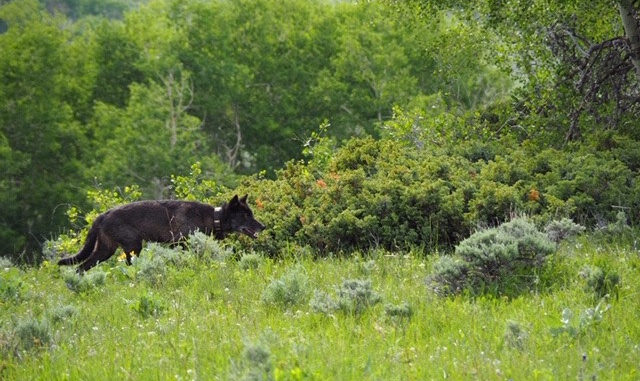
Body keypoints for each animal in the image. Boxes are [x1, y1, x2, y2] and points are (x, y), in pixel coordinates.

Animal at [56, 194, 264, 272]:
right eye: (246, 215)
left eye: (251, 214)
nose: (263, 227)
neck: (213, 217)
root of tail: (102, 215)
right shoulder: (178, 244)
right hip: (133, 247)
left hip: (104, 251)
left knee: (80, 267)